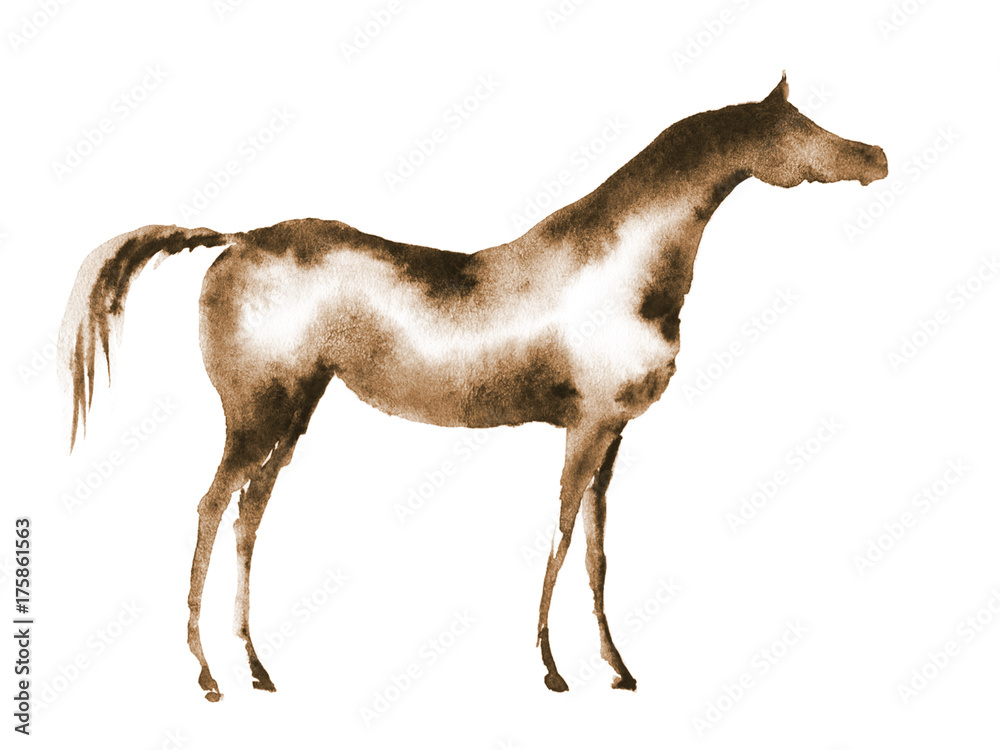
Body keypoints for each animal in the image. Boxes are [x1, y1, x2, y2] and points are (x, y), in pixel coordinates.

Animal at [58, 73, 888, 701]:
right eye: (797, 127)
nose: (877, 155)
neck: (622, 267)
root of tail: (235, 239)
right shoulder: (586, 427)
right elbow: (560, 536)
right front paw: (552, 670)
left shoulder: (612, 435)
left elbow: (597, 553)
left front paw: (618, 669)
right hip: (256, 414)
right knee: (210, 508)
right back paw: (207, 676)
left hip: (294, 415)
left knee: (248, 516)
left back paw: (257, 669)